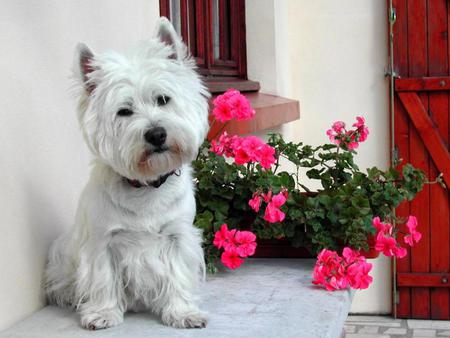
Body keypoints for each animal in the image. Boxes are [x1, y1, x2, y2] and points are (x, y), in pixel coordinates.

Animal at [44, 16, 209, 330]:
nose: (156, 134)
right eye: (124, 111)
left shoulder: (177, 235)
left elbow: (178, 275)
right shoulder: (101, 242)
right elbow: (103, 279)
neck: (146, 186)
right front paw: (103, 313)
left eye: (163, 99)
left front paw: (183, 313)